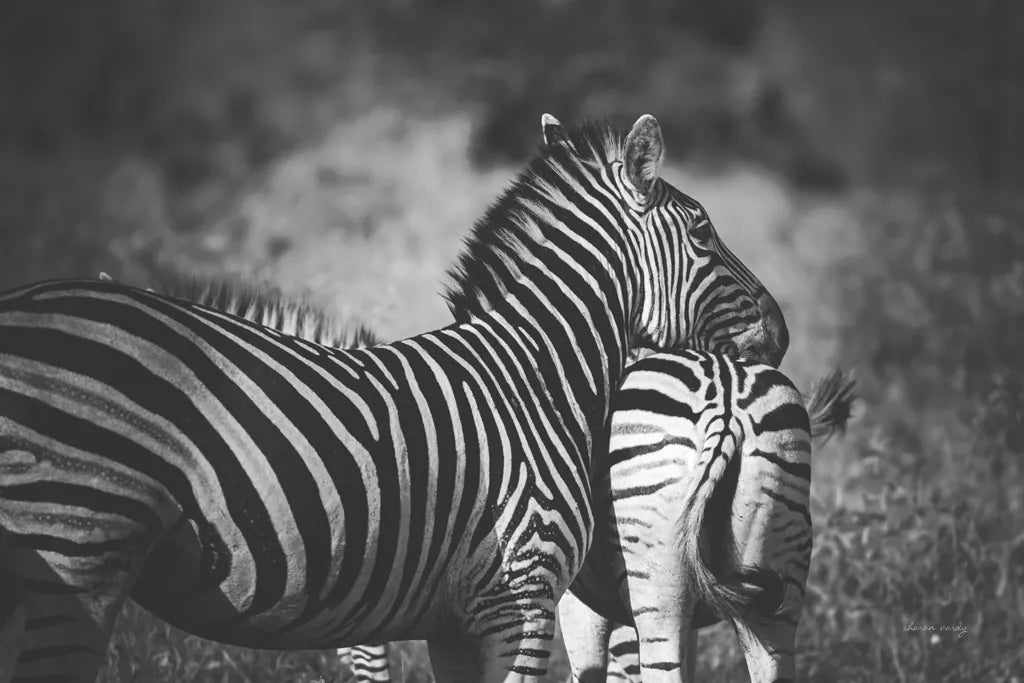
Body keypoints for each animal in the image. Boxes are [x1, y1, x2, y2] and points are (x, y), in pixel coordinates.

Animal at [0, 113, 788, 683]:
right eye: (705, 233)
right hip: (74, 542)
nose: (781, 330)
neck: (539, 373)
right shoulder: (521, 596)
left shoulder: (455, 620)